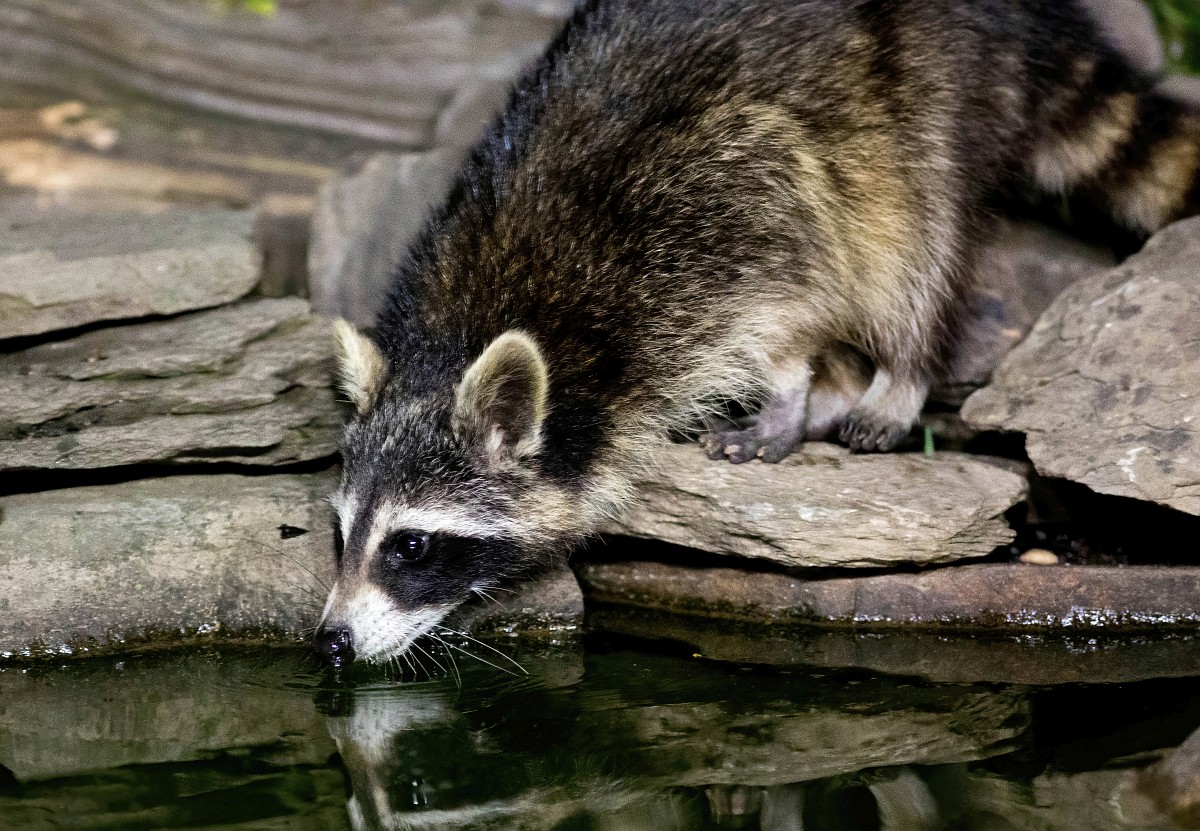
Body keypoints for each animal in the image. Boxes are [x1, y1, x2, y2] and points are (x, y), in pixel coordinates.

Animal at [316, 0, 1200, 665]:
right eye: (340, 532)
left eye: (412, 546)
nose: (330, 642)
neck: (460, 326)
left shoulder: (726, 199)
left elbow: (790, 281)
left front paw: (790, 389)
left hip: (928, 81)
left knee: (913, 231)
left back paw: (897, 373)